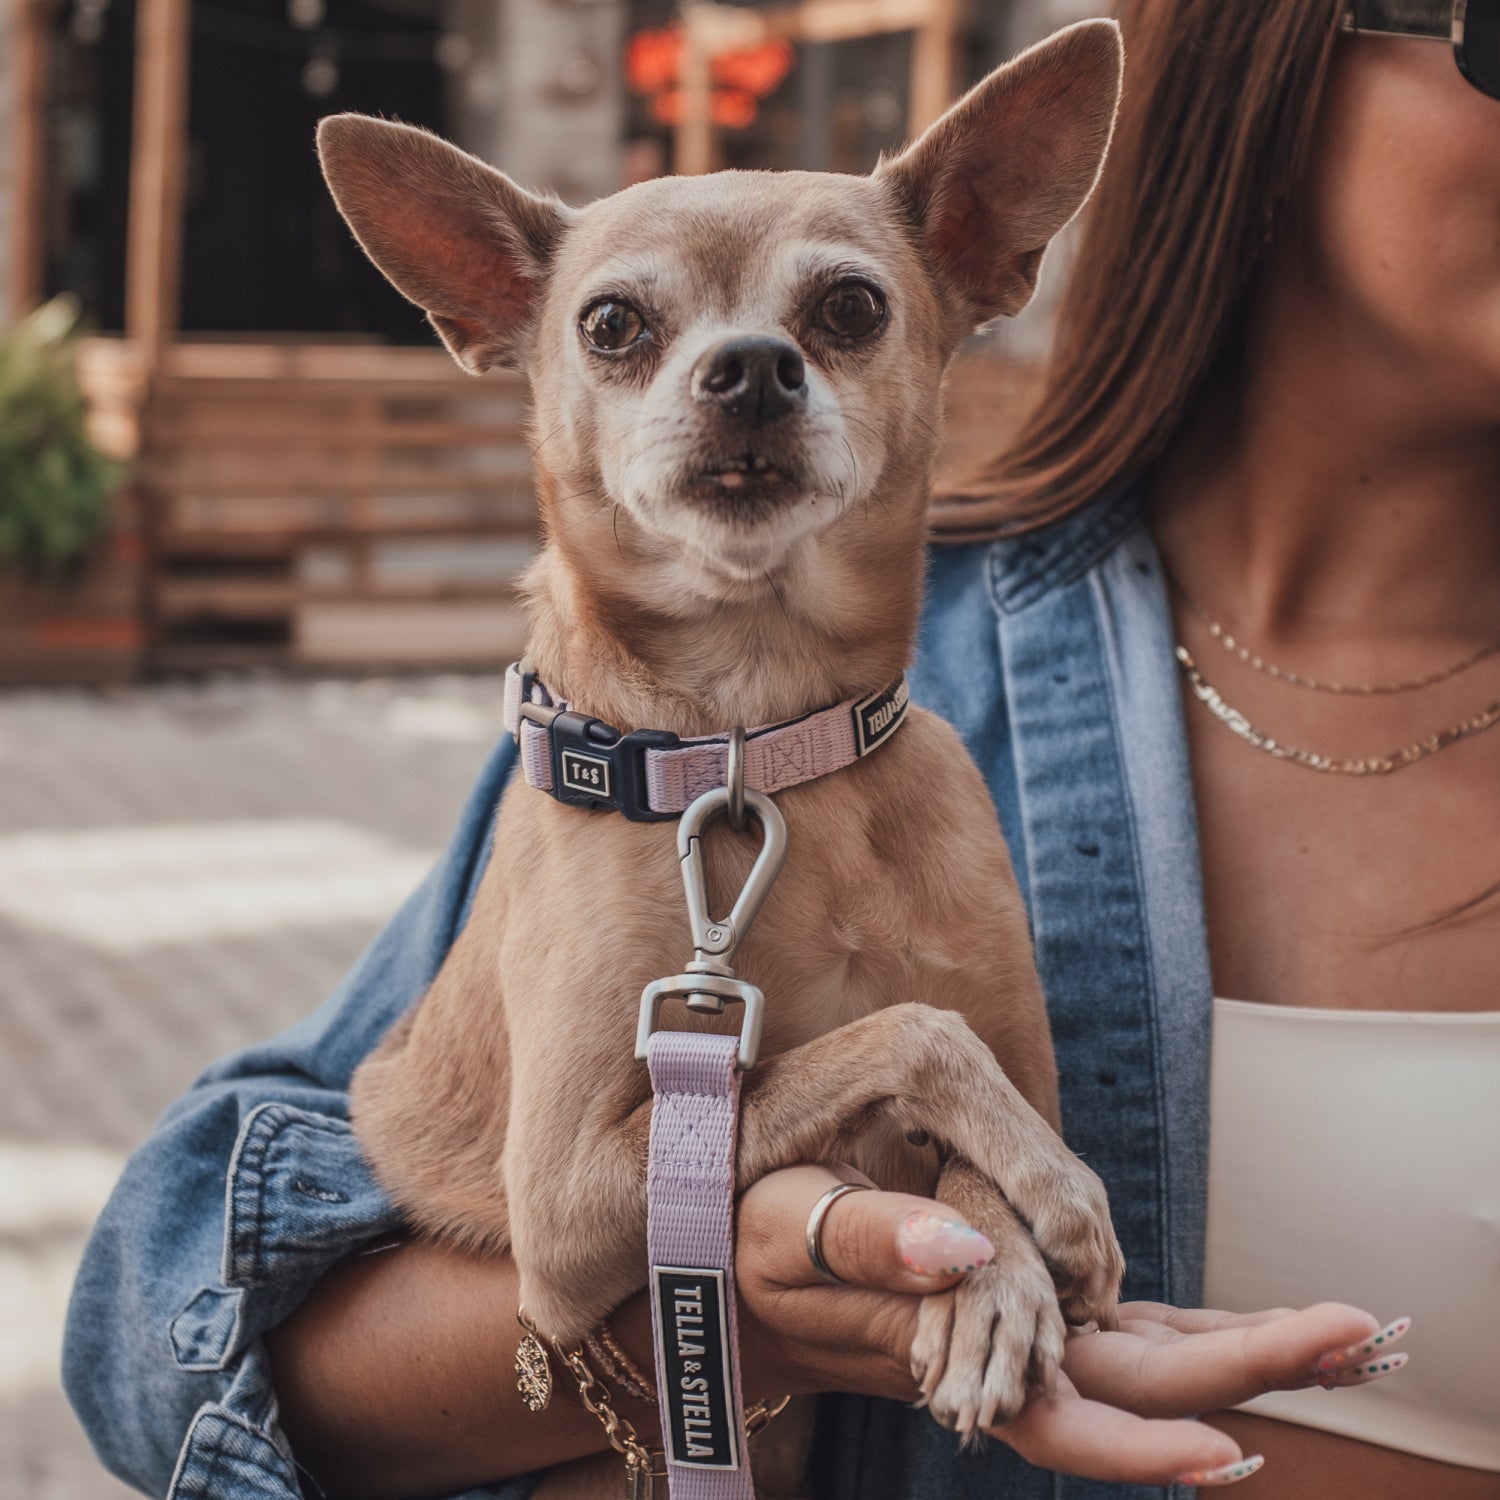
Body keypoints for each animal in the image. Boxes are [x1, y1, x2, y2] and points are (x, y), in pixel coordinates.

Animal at [319, 20, 1128, 1488]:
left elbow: (967, 1122)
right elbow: (909, 1034)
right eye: (611, 325)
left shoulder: (1028, 1059)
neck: (756, 742)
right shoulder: (575, 1198)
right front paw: (1044, 1204)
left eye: (853, 308)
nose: (750, 365)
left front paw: (996, 1276)